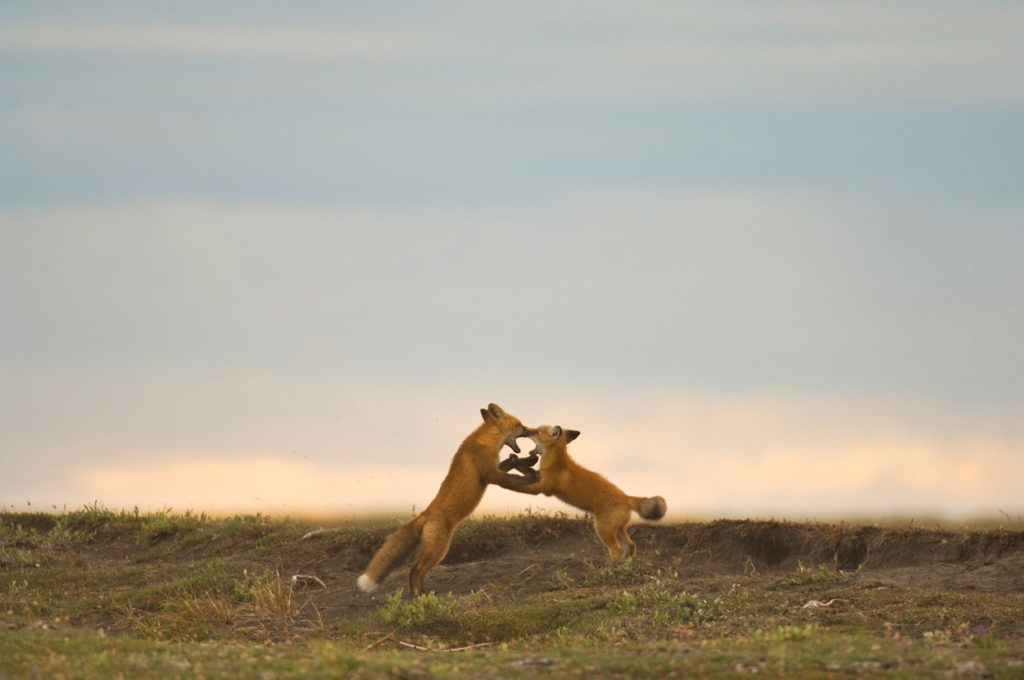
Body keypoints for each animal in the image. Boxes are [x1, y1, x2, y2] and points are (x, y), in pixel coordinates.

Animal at [356, 403, 536, 593]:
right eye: (519, 424)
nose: (530, 430)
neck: (486, 440)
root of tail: (425, 513)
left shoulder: (493, 469)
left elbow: (510, 463)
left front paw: (526, 461)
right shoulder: (490, 474)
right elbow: (513, 480)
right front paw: (532, 478)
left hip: (435, 549)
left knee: (415, 570)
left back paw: (421, 594)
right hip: (439, 549)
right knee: (415, 569)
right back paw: (420, 596)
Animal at [509, 428, 667, 561]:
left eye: (537, 431)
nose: (526, 430)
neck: (556, 461)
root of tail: (626, 497)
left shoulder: (543, 487)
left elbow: (520, 487)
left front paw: (507, 483)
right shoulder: (538, 477)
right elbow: (524, 470)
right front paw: (514, 461)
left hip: (602, 530)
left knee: (617, 550)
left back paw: (609, 570)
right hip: (617, 529)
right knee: (631, 545)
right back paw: (626, 564)